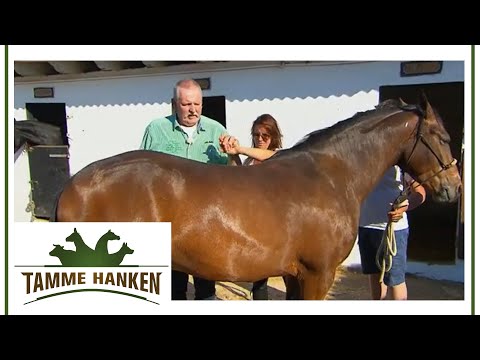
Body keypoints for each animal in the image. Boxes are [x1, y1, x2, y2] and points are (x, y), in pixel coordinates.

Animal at [52, 95, 462, 298]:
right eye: (443, 137)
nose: (454, 187)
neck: (332, 176)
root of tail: (74, 186)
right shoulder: (318, 274)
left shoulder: (297, 276)